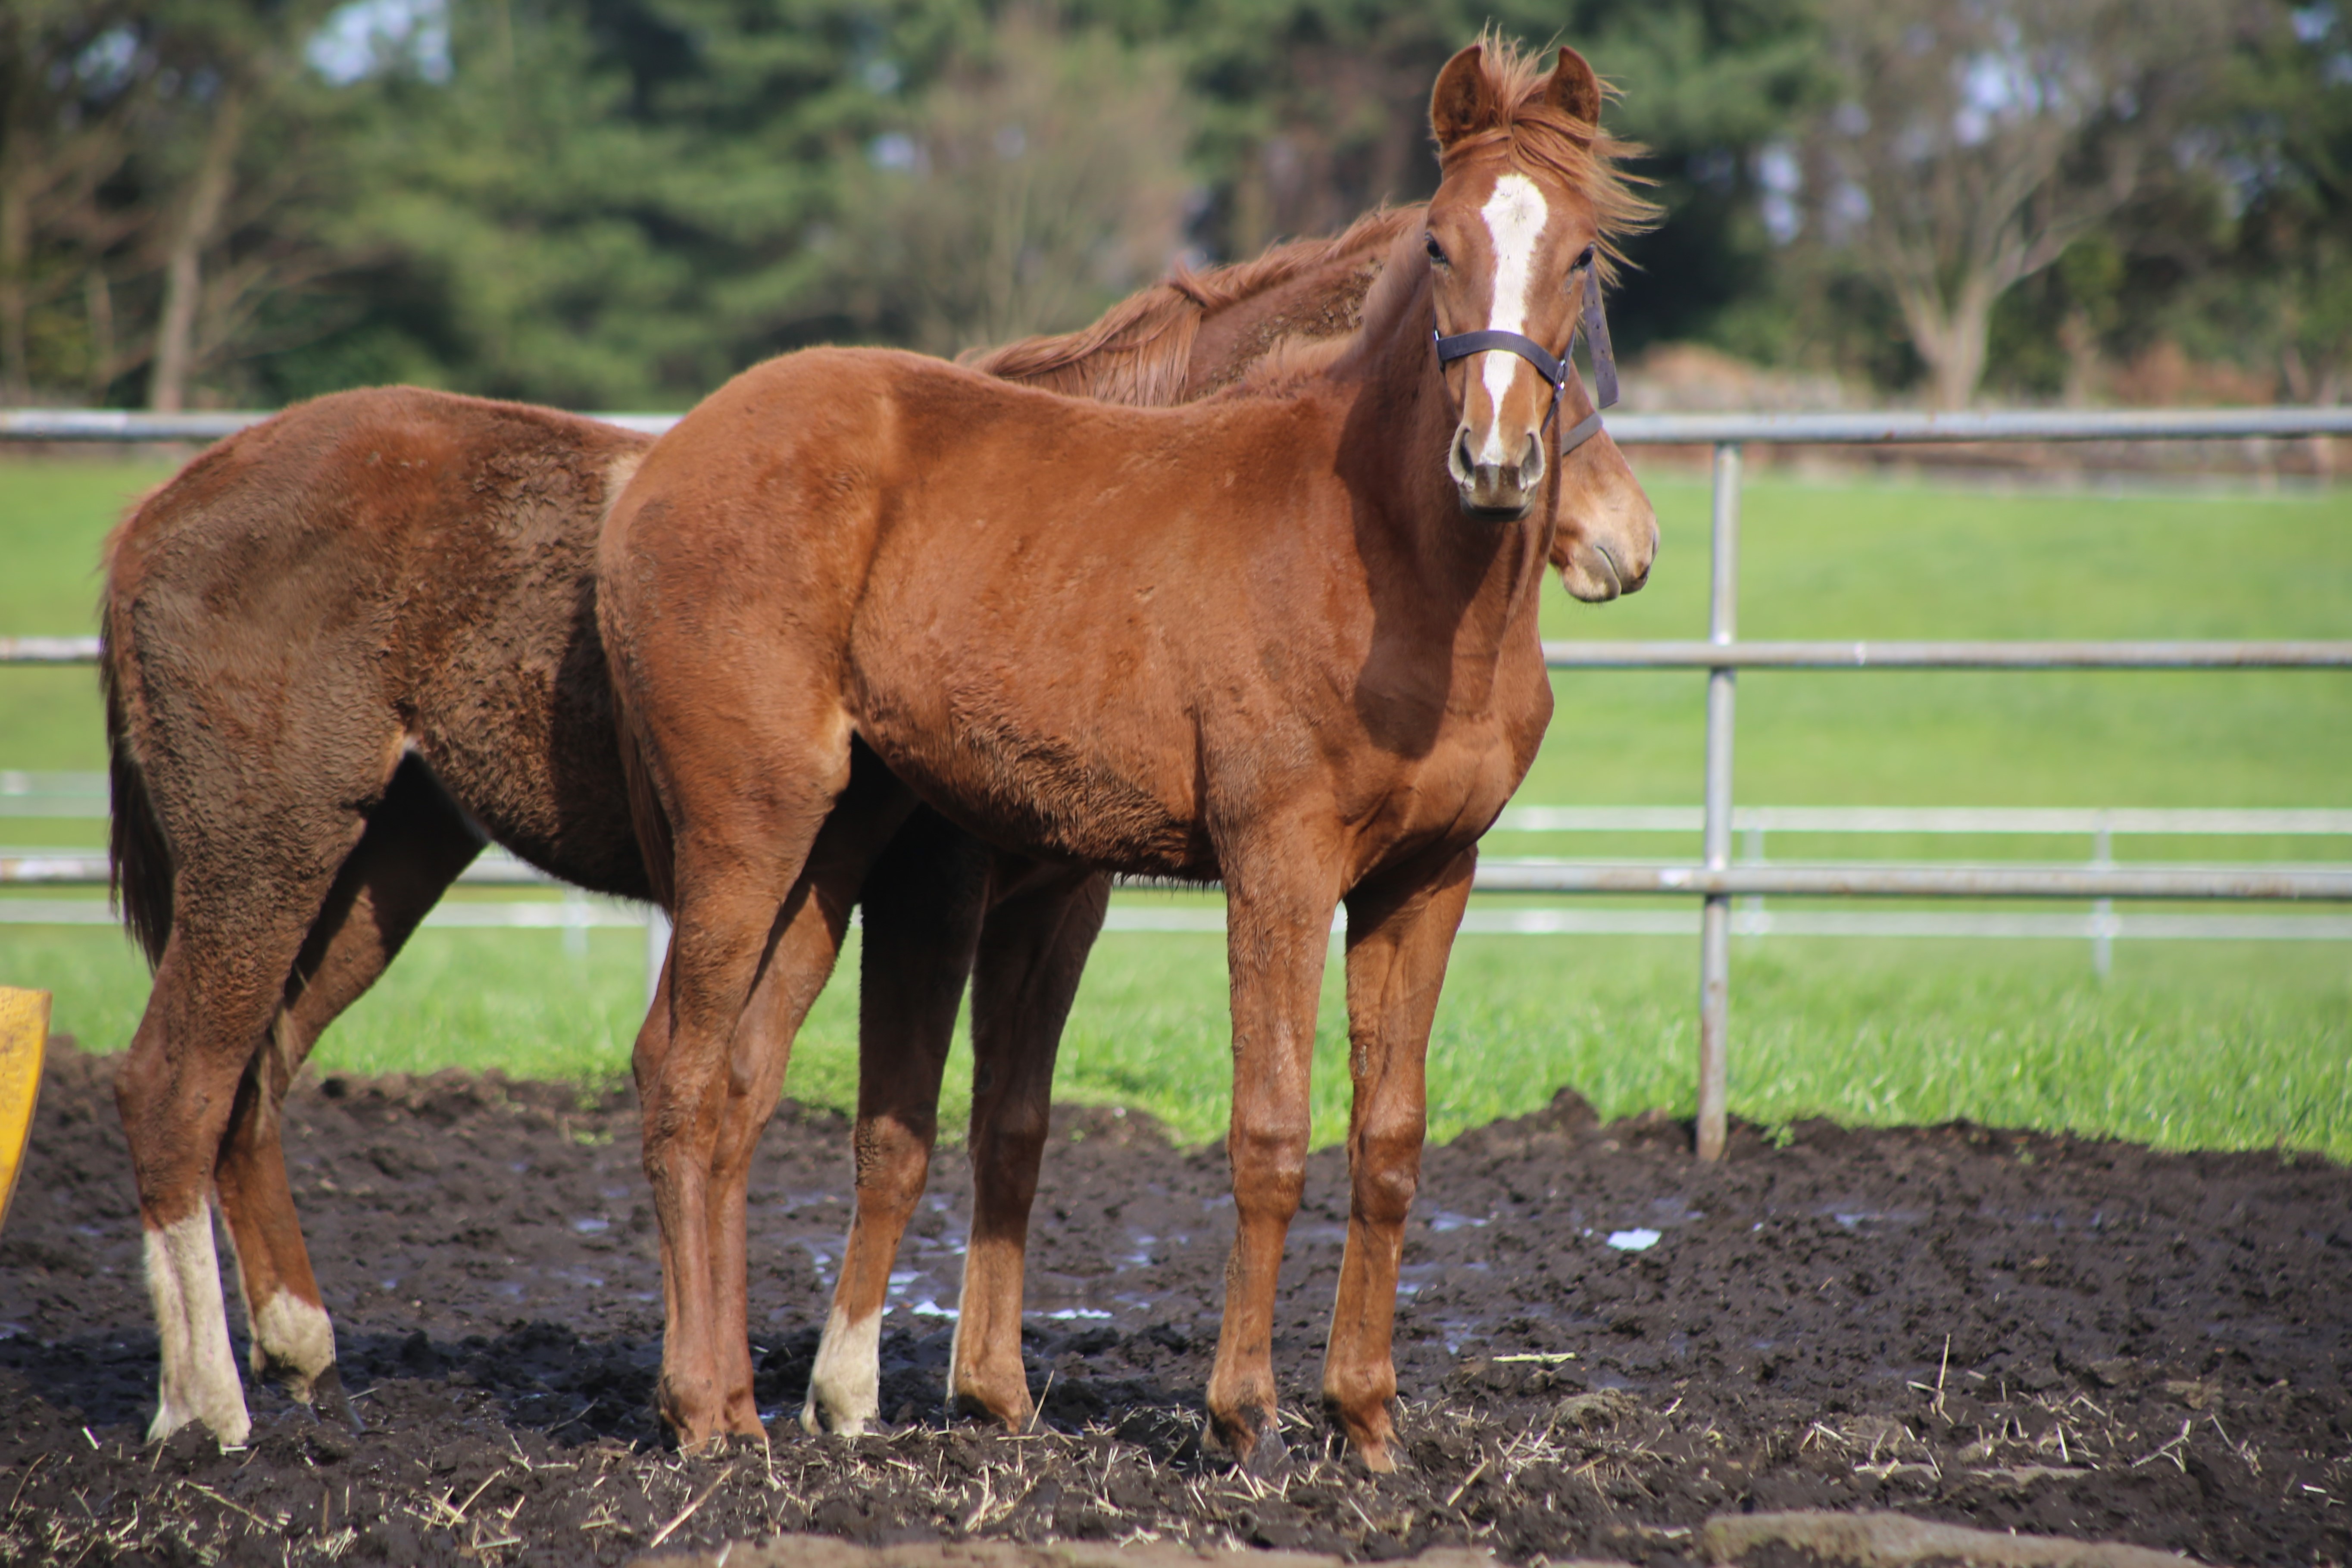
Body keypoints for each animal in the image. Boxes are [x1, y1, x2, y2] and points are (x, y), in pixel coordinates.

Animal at [101, 196, 1655, 1448]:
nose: (1621, 540)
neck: (1080, 531)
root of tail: (155, 513)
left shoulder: (1055, 899)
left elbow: (1006, 1122)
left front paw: (989, 1391)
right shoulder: (935, 891)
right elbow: (898, 1126)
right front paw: (850, 1391)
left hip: (385, 860)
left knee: (256, 1071)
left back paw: (299, 1347)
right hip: (270, 851)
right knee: (179, 1077)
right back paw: (208, 1404)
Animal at [597, 40, 1646, 1476]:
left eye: (1583, 256)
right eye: (1438, 242)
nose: (1497, 460)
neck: (1386, 571)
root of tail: (656, 467)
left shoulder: (1429, 877)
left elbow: (1387, 1138)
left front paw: (1367, 1420)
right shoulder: (1278, 863)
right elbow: (1269, 1130)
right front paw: (1245, 1415)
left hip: (831, 844)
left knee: (740, 1081)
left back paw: (740, 1400)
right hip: (744, 823)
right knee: (681, 1072)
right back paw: (704, 1412)